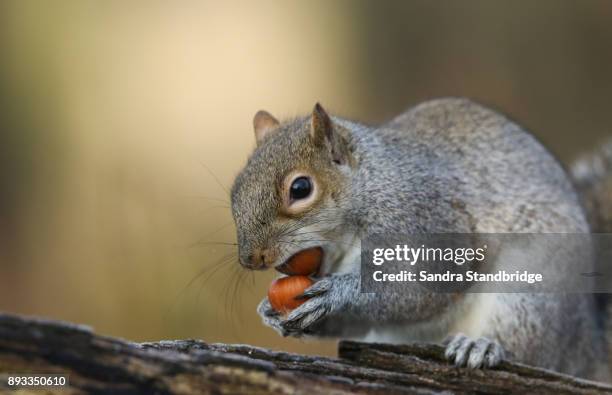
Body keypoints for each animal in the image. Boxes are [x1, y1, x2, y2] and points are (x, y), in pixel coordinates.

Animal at [228, 98, 612, 380]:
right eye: (235, 190)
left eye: (300, 188)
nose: (251, 258)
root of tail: (586, 345)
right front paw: (270, 312)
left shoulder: (429, 224)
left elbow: (421, 291)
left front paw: (338, 293)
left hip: (530, 292)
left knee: (527, 347)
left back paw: (481, 345)